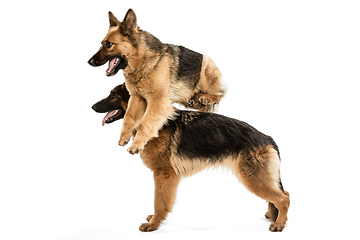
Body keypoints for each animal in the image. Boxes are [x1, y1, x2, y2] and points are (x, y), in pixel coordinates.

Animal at [88, 8, 225, 154]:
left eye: (108, 44)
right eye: (101, 44)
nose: (89, 62)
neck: (142, 62)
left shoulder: (157, 101)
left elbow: (145, 123)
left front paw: (137, 144)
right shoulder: (136, 97)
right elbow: (129, 117)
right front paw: (124, 137)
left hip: (206, 69)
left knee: (220, 94)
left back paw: (205, 98)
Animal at [90, 84, 290, 232]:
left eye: (113, 96)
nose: (92, 107)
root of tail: (267, 138)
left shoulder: (163, 174)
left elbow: (159, 201)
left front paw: (154, 224)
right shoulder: (166, 176)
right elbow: (162, 201)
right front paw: (155, 220)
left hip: (254, 179)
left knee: (284, 198)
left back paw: (279, 224)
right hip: (259, 178)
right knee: (281, 194)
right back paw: (273, 216)